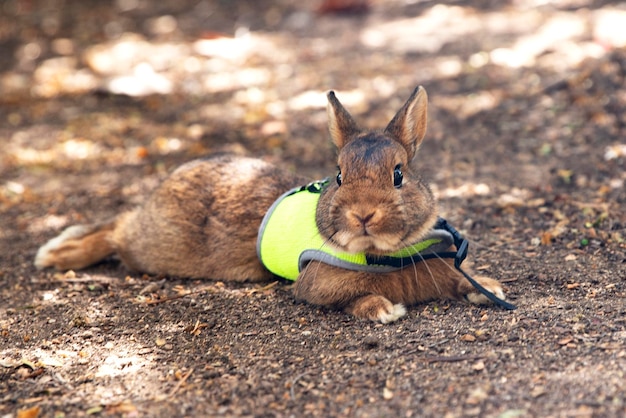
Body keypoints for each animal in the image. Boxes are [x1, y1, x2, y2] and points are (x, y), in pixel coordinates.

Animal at [34, 85, 504, 324]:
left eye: (399, 174)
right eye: (338, 175)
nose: (363, 214)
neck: (383, 255)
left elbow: (458, 278)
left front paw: (490, 288)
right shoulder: (317, 284)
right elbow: (346, 298)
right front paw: (383, 310)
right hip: (157, 247)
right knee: (117, 229)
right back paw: (57, 253)